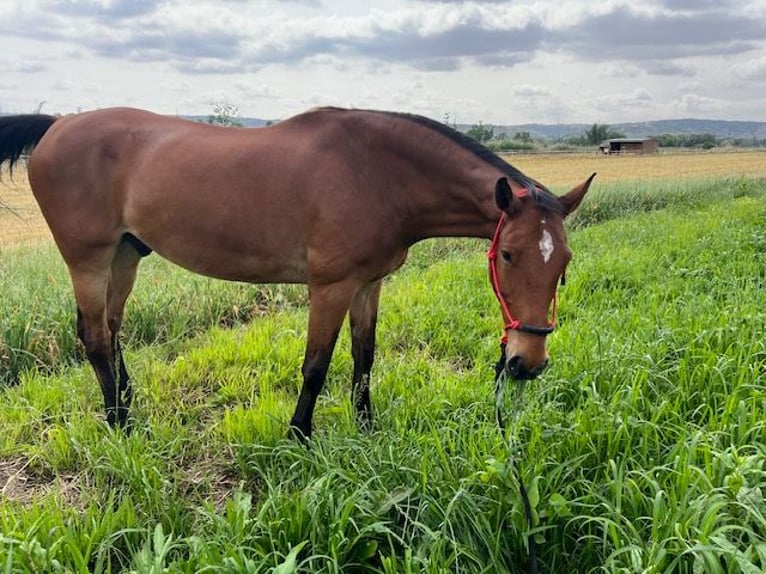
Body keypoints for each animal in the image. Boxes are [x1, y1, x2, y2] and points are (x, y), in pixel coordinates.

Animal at [0, 108, 592, 438]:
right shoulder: (330, 287)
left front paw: (366, 427)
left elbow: (364, 356)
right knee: (95, 337)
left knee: (113, 329)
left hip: (125, 254)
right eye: (509, 254)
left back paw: (128, 405)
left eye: (563, 263)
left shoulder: (369, 284)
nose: (526, 363)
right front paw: (300, 436)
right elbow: (316, 366)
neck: (380, 173)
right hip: (89, 258)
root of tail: (57, 125)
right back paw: (121, 425)